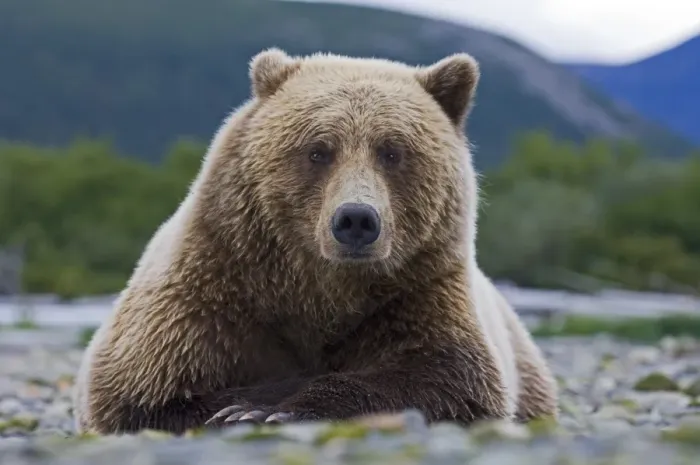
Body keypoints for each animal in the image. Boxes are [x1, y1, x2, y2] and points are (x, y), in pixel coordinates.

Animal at [72, 47, 559, 435]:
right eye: (318, 150)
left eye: (393, 151)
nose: (357, 220)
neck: (318, 288)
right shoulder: (210, 292)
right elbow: (145, 393)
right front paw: (243, 407)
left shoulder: (418, 291)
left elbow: (448, 378)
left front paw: (274, 408)